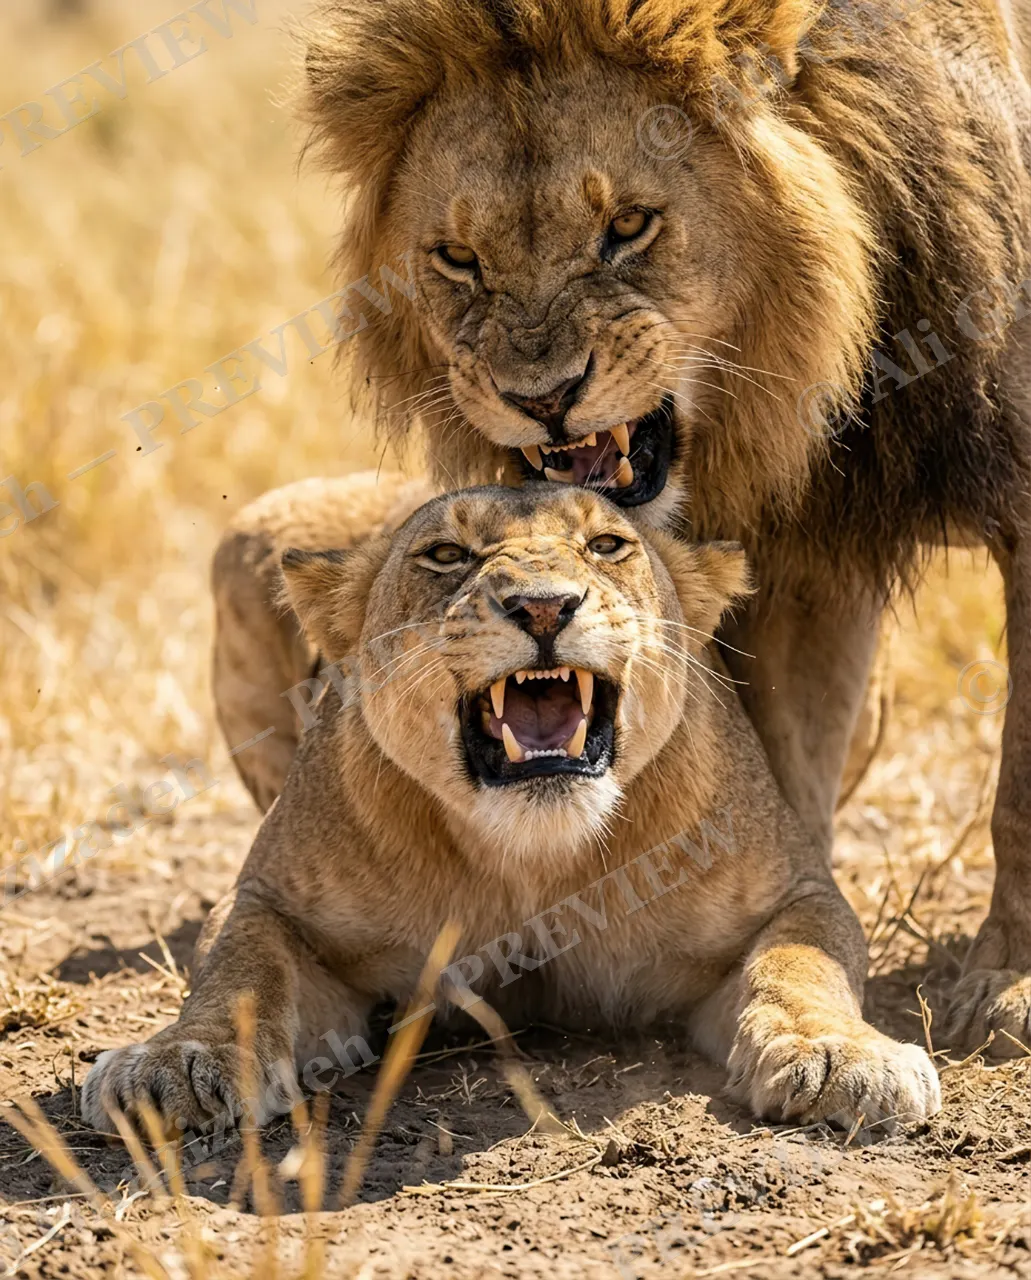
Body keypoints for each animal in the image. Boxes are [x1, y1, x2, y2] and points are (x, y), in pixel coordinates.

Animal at [83, 483, 939, 1137]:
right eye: (446, 555)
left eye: (605, 545)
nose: (543, 607)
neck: (534, 857)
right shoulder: (278, 908)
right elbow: (239, 971)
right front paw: (173, 1063)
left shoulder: (793, 893)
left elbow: (802, 963)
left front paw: (843, 1057)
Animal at [293, 0, 1031, 1050]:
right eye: (458, 260)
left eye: (628, 227)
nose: (541, 398)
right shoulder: (792, 555)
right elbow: (778, 757)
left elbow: (1020, 790)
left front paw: (1007, 982)